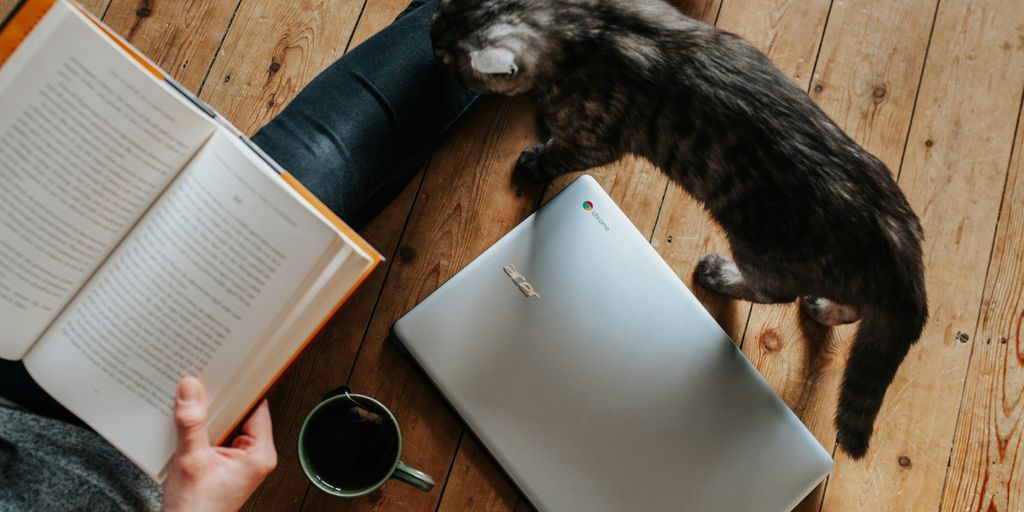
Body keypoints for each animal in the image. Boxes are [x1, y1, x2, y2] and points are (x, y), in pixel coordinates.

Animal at [432, 0, 929, 460]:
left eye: (448, 58)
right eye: (435, 25)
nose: (431, 49)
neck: (580, 17)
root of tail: (898, 238)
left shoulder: (595, 139)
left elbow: (560, 152)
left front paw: (536, 159)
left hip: (763, 248)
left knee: (776, 292)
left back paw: (721, 275)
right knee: (850, 307)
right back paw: (821, 308)